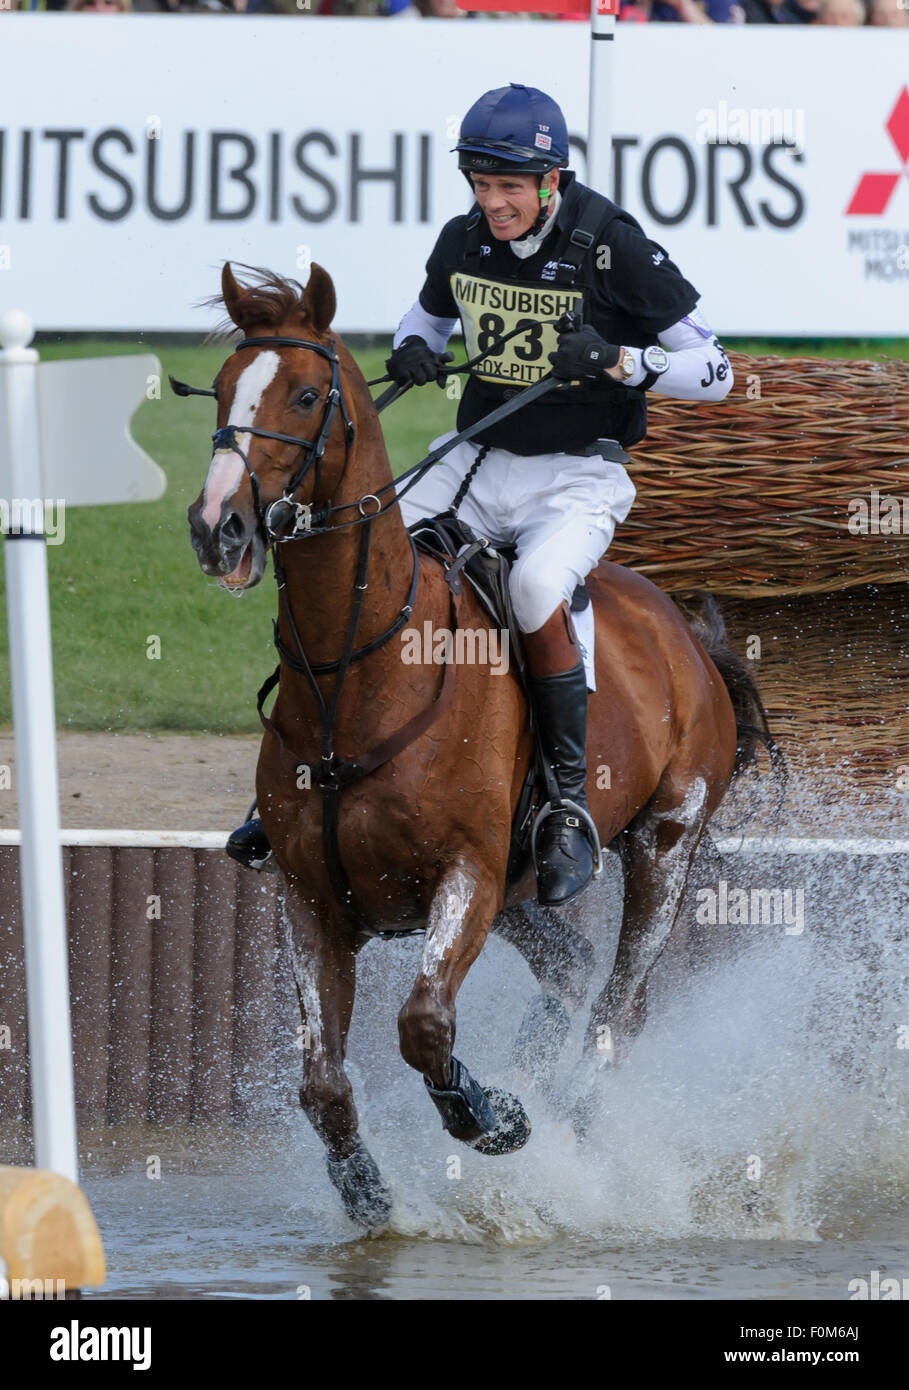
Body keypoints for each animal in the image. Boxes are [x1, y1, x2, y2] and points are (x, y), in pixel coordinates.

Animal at [187, 261, 778, 1228]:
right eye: (222, 387)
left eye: (306, 395)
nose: (217, 528)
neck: (360, 674)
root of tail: (686, 632)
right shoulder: (311, 899)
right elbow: (322, 1084)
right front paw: (367, 1196)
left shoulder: (461, 874)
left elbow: (424, 1027)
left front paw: (492, 1115)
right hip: (517, 887)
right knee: (571, 971)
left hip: (662, 847)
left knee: (617, 1008)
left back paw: (568, 1112)